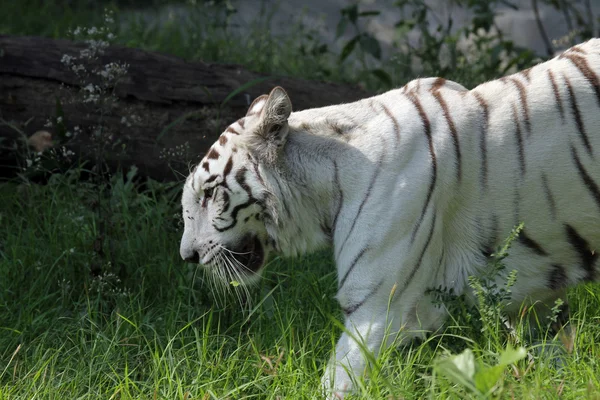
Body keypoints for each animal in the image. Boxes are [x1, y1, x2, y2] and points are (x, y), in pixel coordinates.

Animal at [180, 39, 600, 396]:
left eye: (210, 193)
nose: (187, 256)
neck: (325, 183)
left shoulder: (376, 304)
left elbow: (339, 380)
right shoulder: (534, 298)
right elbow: (550, 353)